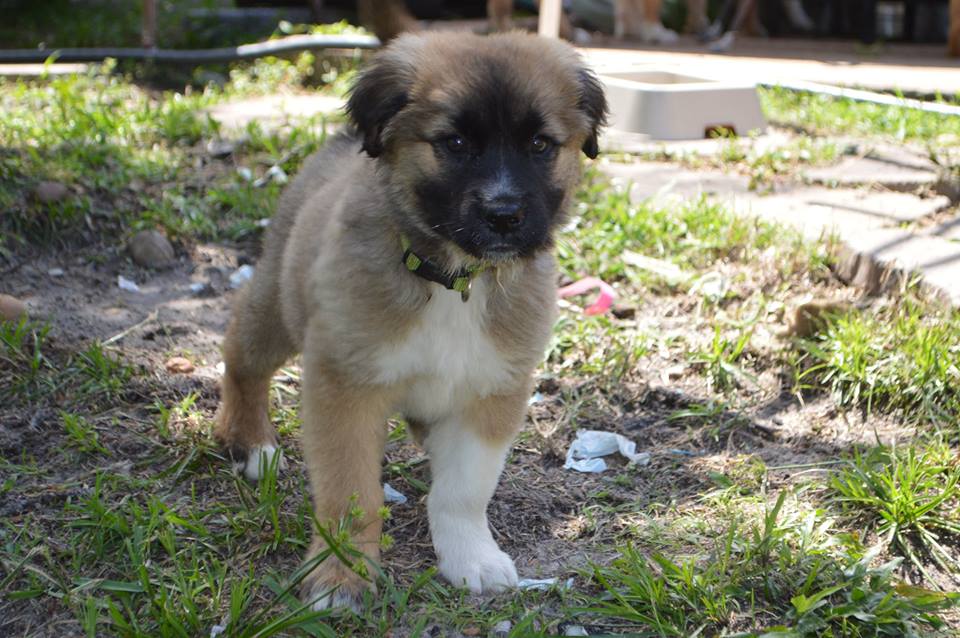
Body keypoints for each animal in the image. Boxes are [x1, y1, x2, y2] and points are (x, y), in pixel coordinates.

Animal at [215, 31, 606, 609]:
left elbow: (463, 491)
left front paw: (470, 558)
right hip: (279, 307)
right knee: (241, 353)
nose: (505, 216)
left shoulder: (492, 391)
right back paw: (251, 441)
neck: (453, 281)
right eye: (455, 143)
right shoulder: (344, 385)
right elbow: (351, 494)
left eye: (540, 145)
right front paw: (342, 573)